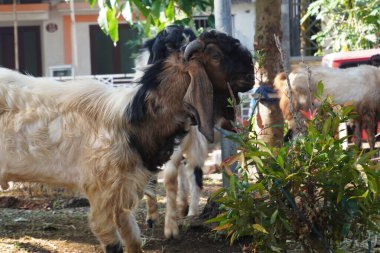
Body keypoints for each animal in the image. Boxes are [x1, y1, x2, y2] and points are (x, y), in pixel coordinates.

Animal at [0, 30, 255, 253]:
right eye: (216, 56)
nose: (252, 75)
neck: (130, 120)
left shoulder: (123, 190)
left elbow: (133, 240)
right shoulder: (100, 192)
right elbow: (112, 241)